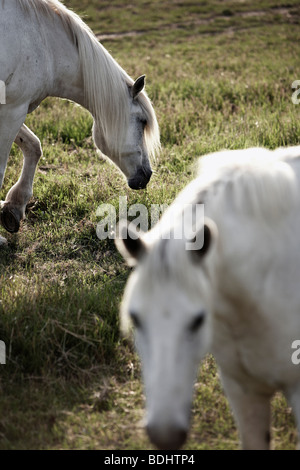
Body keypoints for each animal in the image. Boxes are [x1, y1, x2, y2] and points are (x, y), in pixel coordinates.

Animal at [0, 0, 161, 242]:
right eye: (142, 121)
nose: (147, 175)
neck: (46, 45)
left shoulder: (13, 110)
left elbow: (34, 146)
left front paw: (13, 208)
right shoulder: (13, 109)